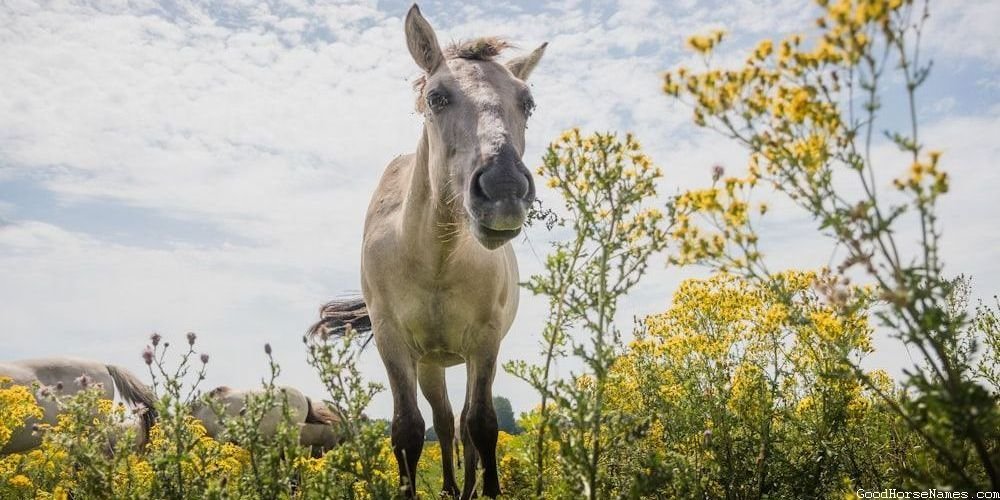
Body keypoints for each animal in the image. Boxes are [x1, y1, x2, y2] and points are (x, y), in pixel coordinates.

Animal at [312, 2, 548, 496]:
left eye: (527, 103)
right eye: (437, 97)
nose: (504, 189)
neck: (434, 259)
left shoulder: (485, 341)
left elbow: (482, 425)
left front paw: (487, 490)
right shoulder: (393, 342)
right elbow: (408, 429)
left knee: (462, 426)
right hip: (429, 365)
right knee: (441, 421)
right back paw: (450, 488)